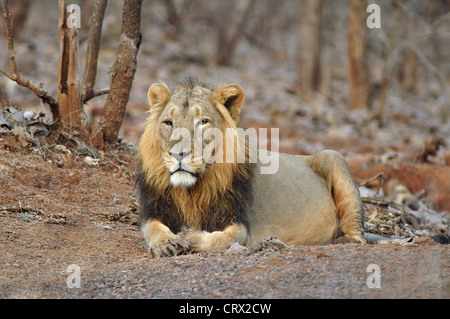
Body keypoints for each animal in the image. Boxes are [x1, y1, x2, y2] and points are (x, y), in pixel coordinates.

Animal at [135, 78, 364, 260]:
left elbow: (224, 239)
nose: (178, 154)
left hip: (334, 157)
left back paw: (345, 242)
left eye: (203, 122)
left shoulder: (238, 220)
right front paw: (166, 243)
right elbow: (152, 229)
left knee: (357, 231)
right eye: (168, 122)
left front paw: (189, 236)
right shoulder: (152, 210)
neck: (191, 191)